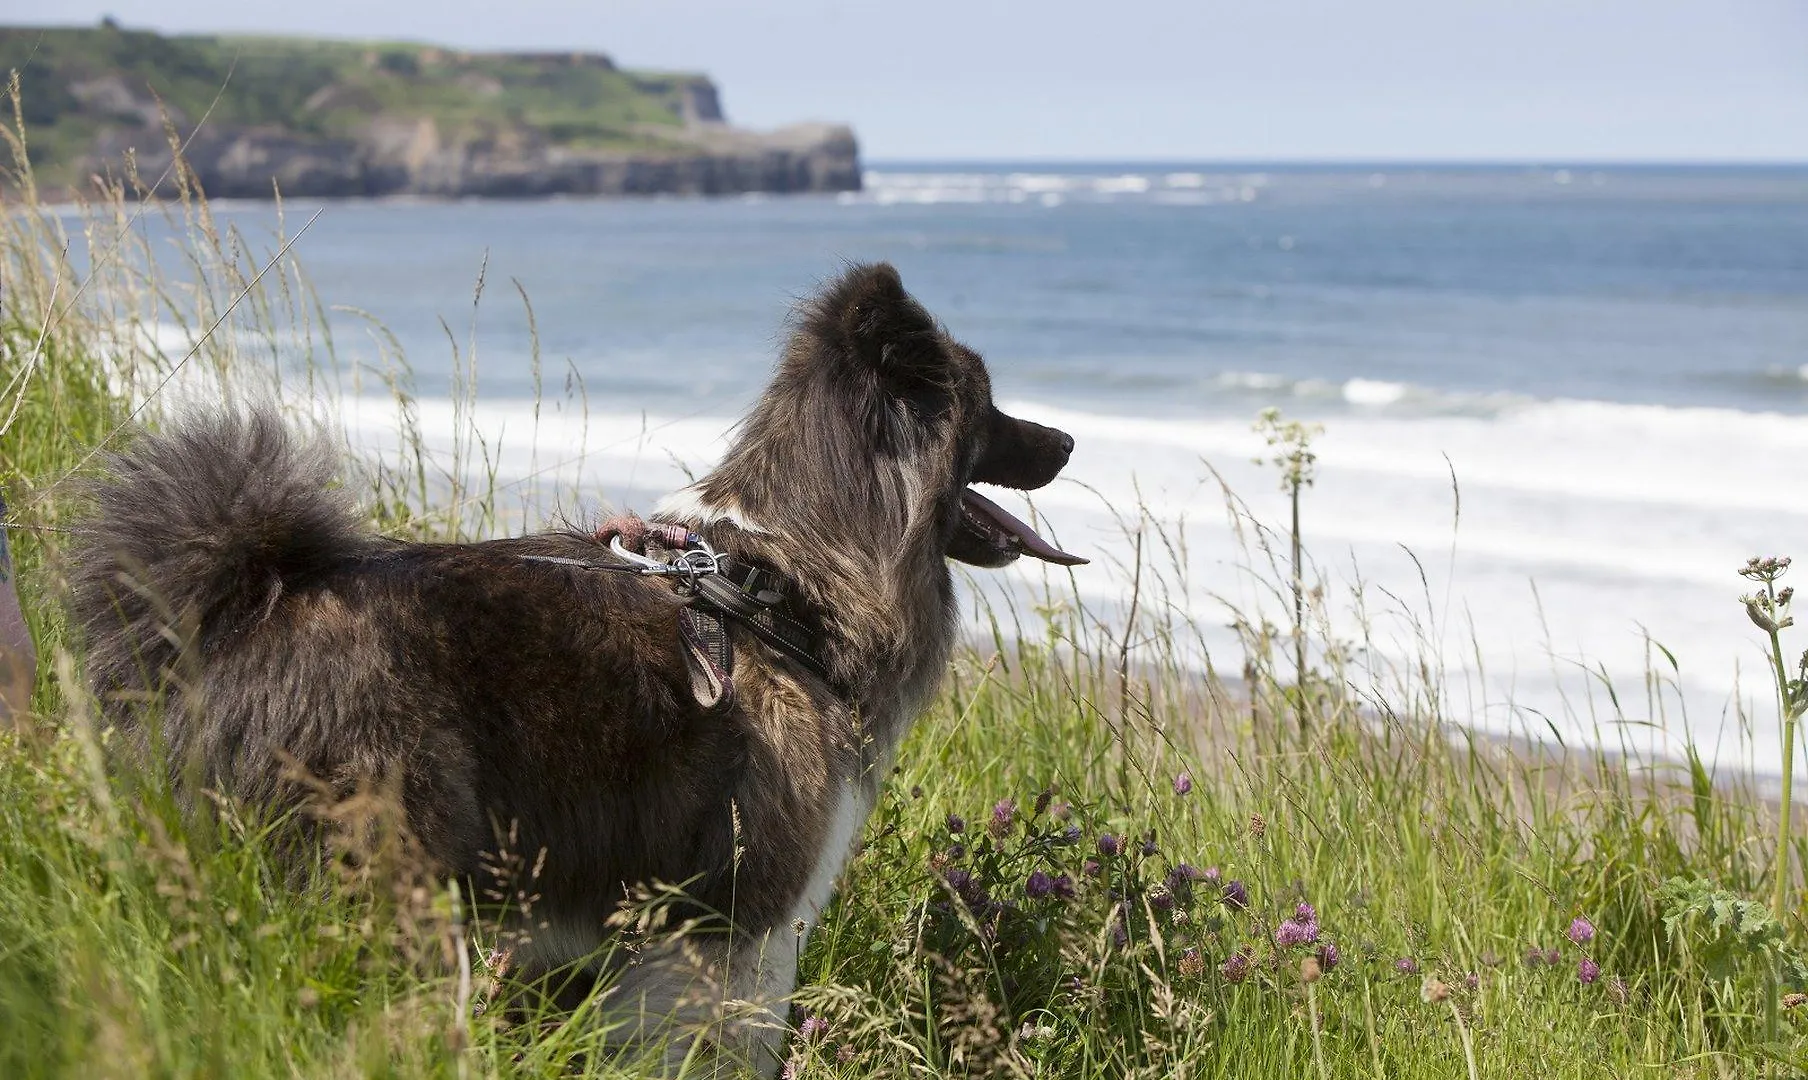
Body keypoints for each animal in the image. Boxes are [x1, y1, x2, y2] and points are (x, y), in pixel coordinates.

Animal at [70, 264, 1077, 1070]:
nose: (1067, 441)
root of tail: (236, 606)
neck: (782, 584)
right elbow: (735, 1045)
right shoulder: (742, 923)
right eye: (988, 403)